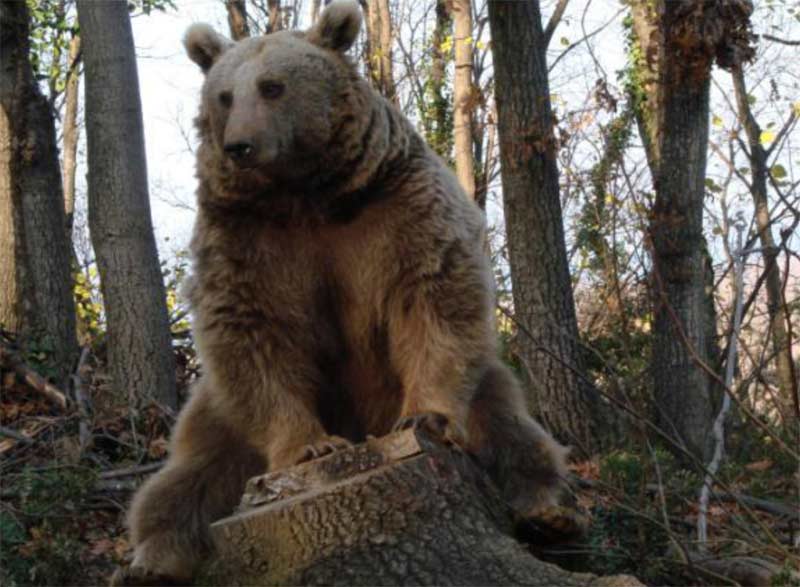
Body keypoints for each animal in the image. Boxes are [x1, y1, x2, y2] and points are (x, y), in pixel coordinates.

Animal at [119, 2, 568, 584]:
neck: (306, 195)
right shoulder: (245, 239)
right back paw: (153, 558)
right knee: (183, 481)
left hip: (485, 385)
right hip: (217, 415)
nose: (240, 146)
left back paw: (548, 510)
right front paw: (310, 445)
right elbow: (251, 333)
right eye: (224, 96)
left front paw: (422, 415)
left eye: (272, 86)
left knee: (510, 425)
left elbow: (433, 297)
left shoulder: (398, 205)